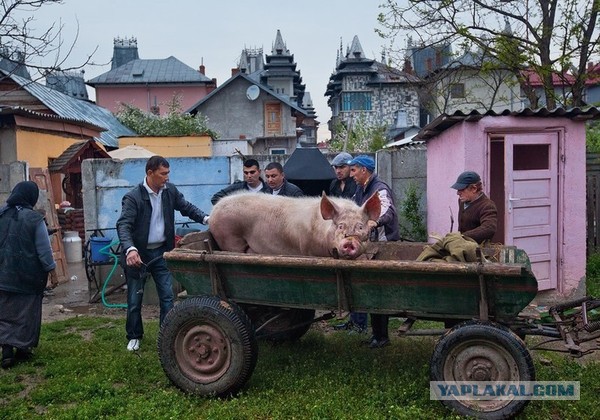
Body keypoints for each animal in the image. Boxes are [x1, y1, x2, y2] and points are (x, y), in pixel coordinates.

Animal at [209, 191, 382, 258]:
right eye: (340, 226)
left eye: (361, 226)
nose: (350, 242)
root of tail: (213, 212)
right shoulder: (308, 250)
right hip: (229, 238)